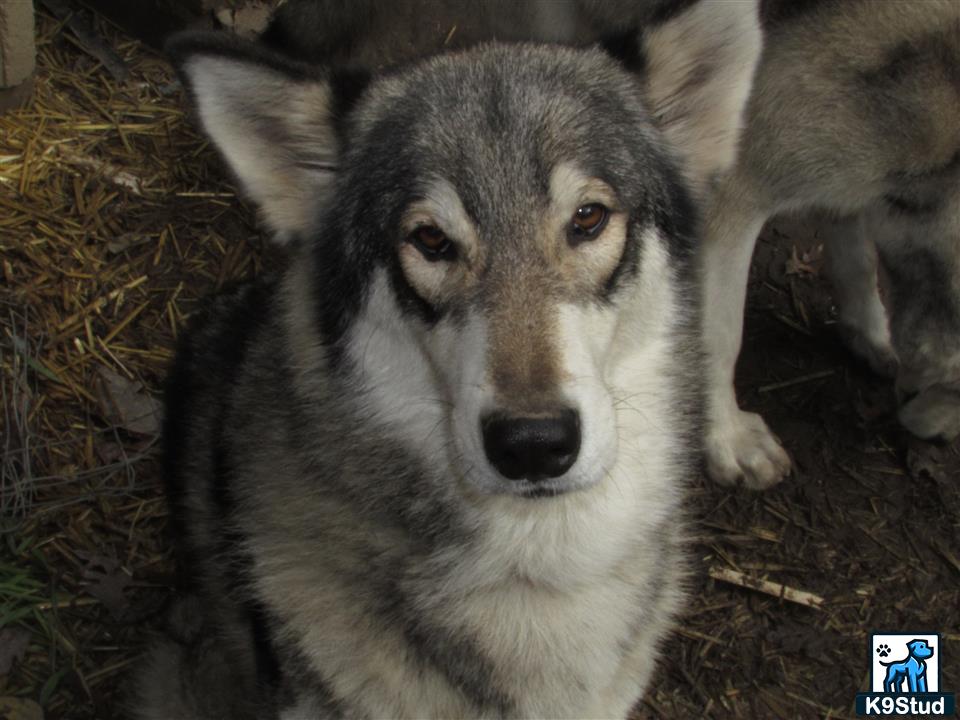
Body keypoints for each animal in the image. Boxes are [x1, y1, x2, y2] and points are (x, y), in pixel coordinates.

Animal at [696, 1, 960, 490]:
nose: (939, 444)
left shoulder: (850, 170)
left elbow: (857, 261)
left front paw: (871, 334)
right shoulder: (734, 188)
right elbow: (720, 335)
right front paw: (727, 438)